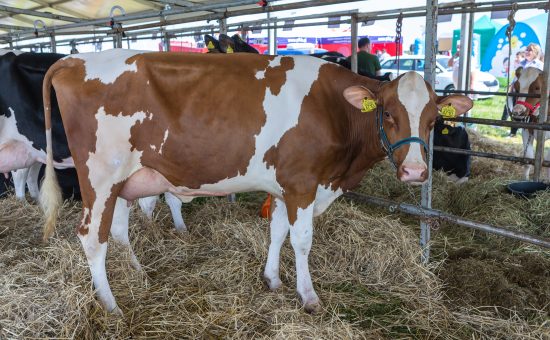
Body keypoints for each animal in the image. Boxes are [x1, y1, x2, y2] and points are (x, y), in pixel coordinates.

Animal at [42, 49, 474, 314]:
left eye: (433, 119)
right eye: (387, 114)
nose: (415, 172)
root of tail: (74, 60)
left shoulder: (285, 185)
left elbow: (278, 232)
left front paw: (272, 279)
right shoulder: (302, 183)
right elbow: (302, 240)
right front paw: (308, 296)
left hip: (124, 183)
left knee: (116, 230)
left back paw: (137, 273)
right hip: (99, 178)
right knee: (91, 236)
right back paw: (111, 304)